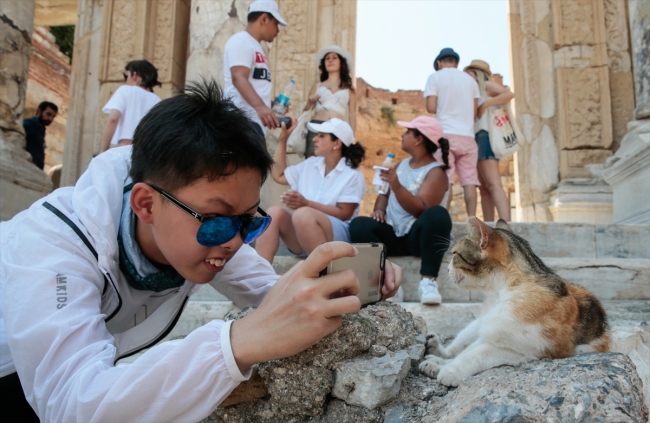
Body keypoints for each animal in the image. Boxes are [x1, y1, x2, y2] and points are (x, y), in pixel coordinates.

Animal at [418, 219, 612, 388]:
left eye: (455, 255)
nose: (447, 268)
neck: (501, 291)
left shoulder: (526, 348)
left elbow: (475, 355)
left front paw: (450, 370)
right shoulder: (493, 330)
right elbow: (468, 351)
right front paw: (443, 364)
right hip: (478, 325)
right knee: (458, 347)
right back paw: (436, 352)